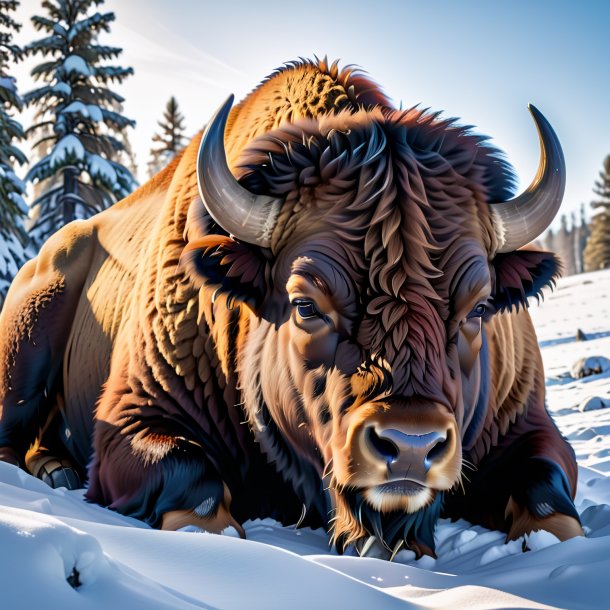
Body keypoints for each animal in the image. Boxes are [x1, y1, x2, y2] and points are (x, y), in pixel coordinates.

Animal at [0, 58, 580, 556]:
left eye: (479, 309)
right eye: (305, 305)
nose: (411, 444)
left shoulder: (525, 426)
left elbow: (551, 498)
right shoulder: (133, 417)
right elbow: (190, 479)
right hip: (26, 347)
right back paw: (53, 471)